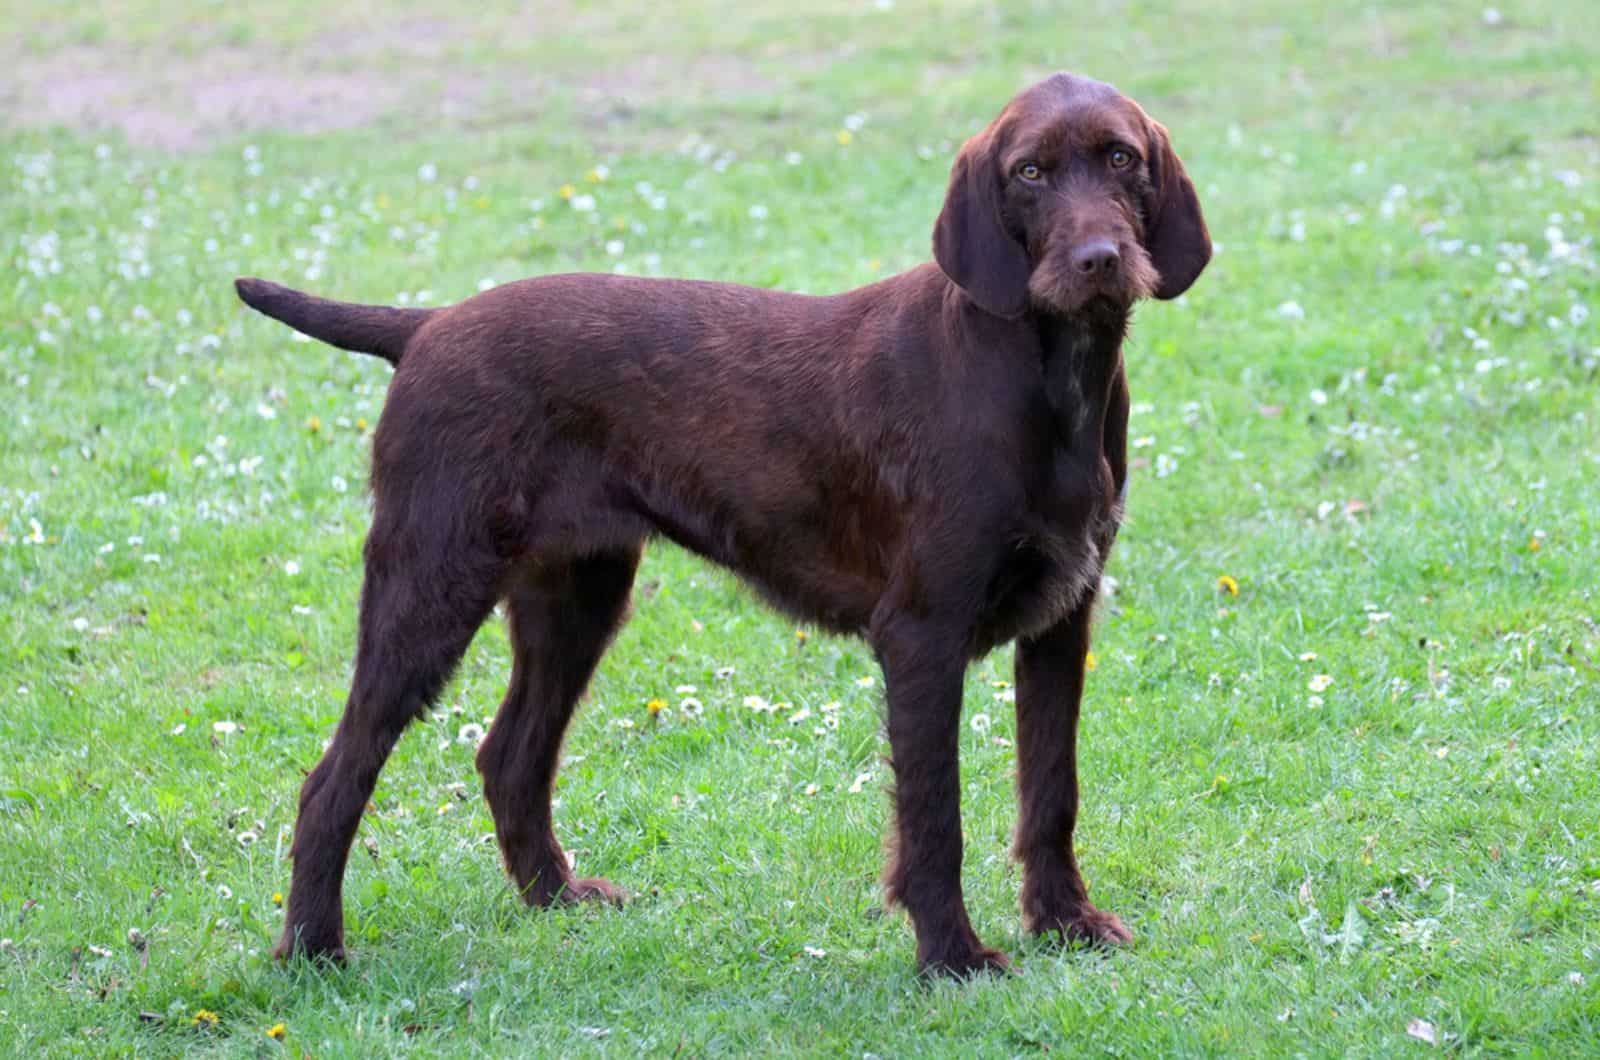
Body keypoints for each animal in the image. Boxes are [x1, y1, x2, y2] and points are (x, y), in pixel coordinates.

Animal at [236, 72, 1203, 979]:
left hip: (577, 594)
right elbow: (936, 819)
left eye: (1121, 159)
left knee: (510, 756)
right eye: (1030, 173)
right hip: (429, 585)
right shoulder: (922, 634)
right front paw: (951, 957)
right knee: (334, 778)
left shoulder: (1061, 621)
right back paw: (314, 948)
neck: (1046, 375)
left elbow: (1052, 791)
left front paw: (1066, 922)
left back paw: (556, 898)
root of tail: (428, 327)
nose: (1099, 258)